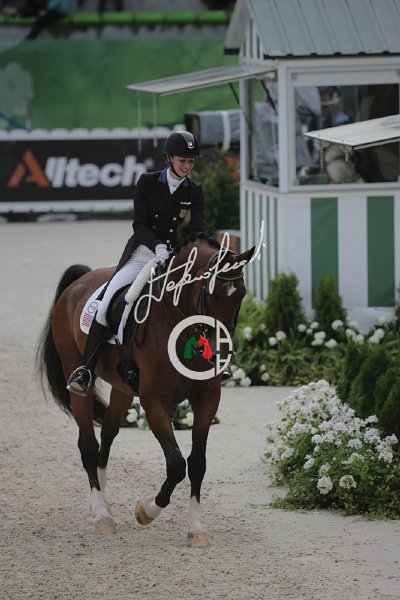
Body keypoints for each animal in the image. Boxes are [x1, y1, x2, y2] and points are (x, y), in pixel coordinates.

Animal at [36, 233, 254, 546]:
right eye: (210, 294)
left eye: (241, 294)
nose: (220, 355)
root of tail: (79, 282)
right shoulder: (154, 403)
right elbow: (176, 464)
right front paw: (146, 511)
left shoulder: (207, 400)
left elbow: (197, 463)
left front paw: (195, 528)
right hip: (76, 376)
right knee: (88, 446)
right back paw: (101, 515)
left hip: (122, 389)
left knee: (108, 434)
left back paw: (104, 498)